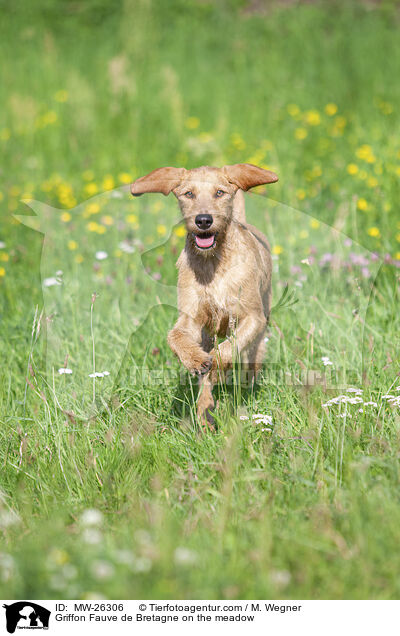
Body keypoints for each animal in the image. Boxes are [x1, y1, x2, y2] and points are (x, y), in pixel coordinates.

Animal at [131, 164, 278, 428]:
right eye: (189, 193)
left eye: (220, 192)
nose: (203, 220)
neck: (214, 264)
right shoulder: (192, 318)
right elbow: (175, 337)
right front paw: (196, 361)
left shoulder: (253, 318)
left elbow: (230, 347)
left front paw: (218, 367)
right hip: (206, 335)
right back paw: (204, 408)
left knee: (252, 357)